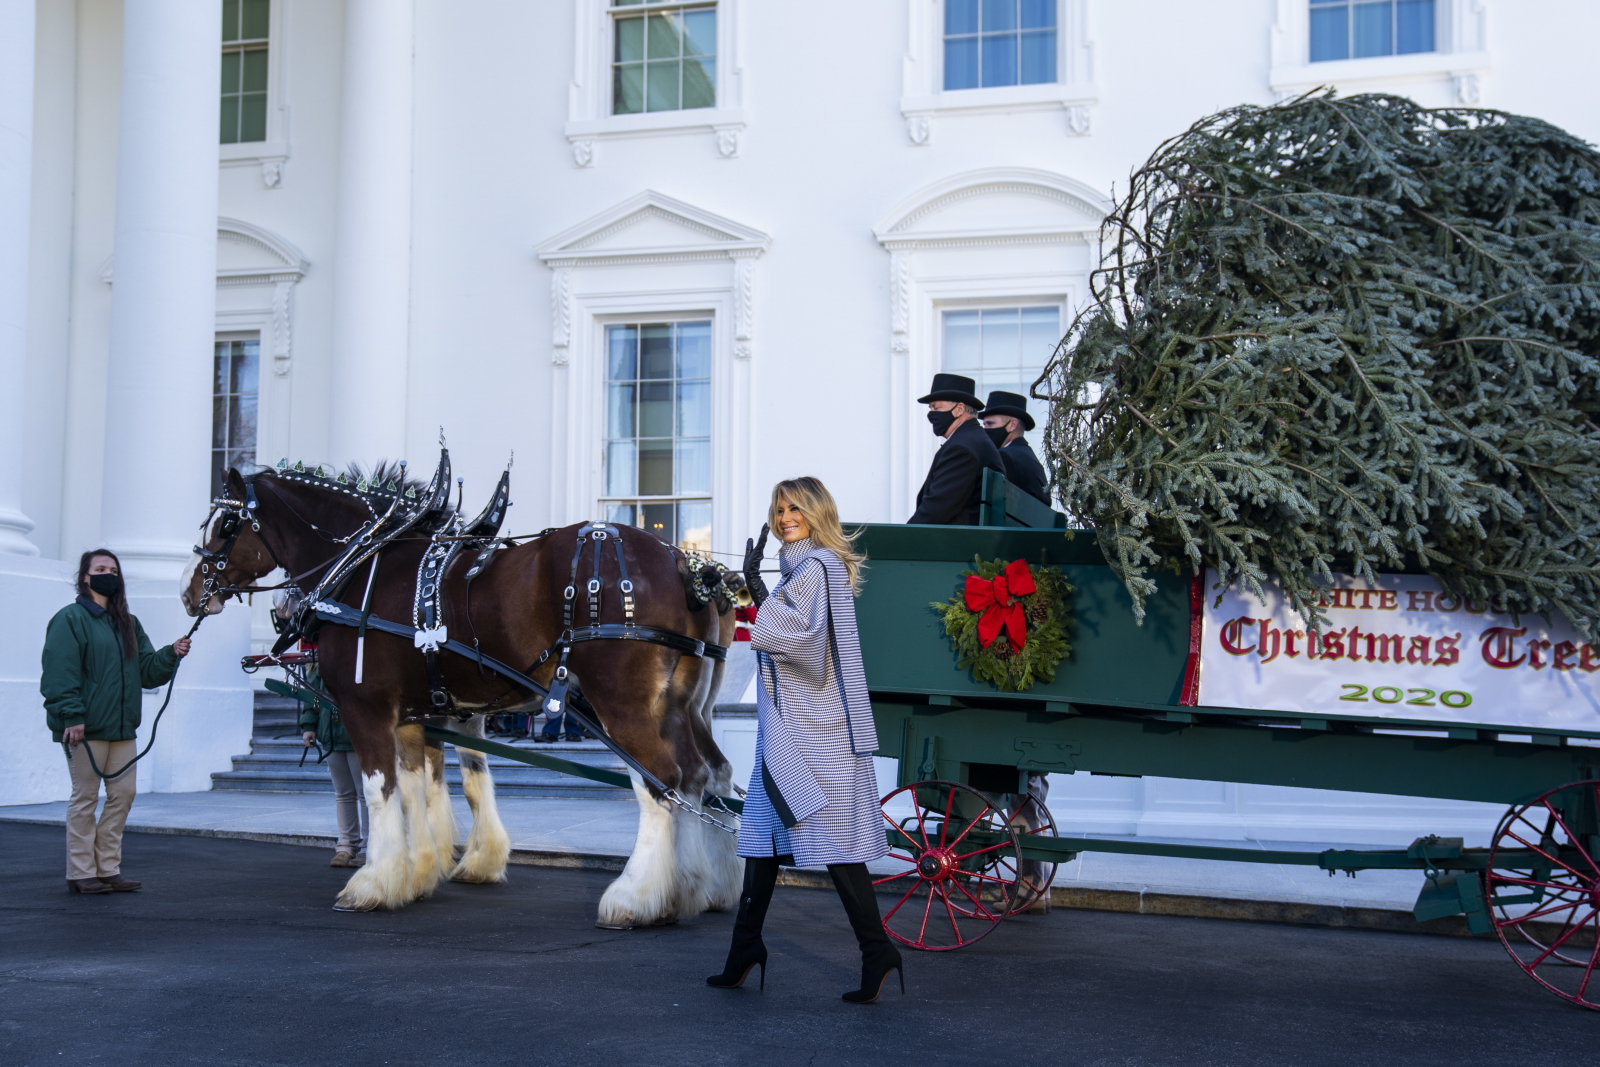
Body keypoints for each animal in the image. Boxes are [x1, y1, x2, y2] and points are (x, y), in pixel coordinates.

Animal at [183, 467, 742, 927]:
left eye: (226, 525)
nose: (190, 594)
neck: (363, 564)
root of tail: (685, 563)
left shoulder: (367, 708)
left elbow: (379, 790)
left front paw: (372, 882)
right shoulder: (419, 715)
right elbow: (428, 787)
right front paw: (420, 873)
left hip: (621, 704)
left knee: (660, 782)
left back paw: (636, 897)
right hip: (683, 706)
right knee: (705, 776)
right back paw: (701, 887)